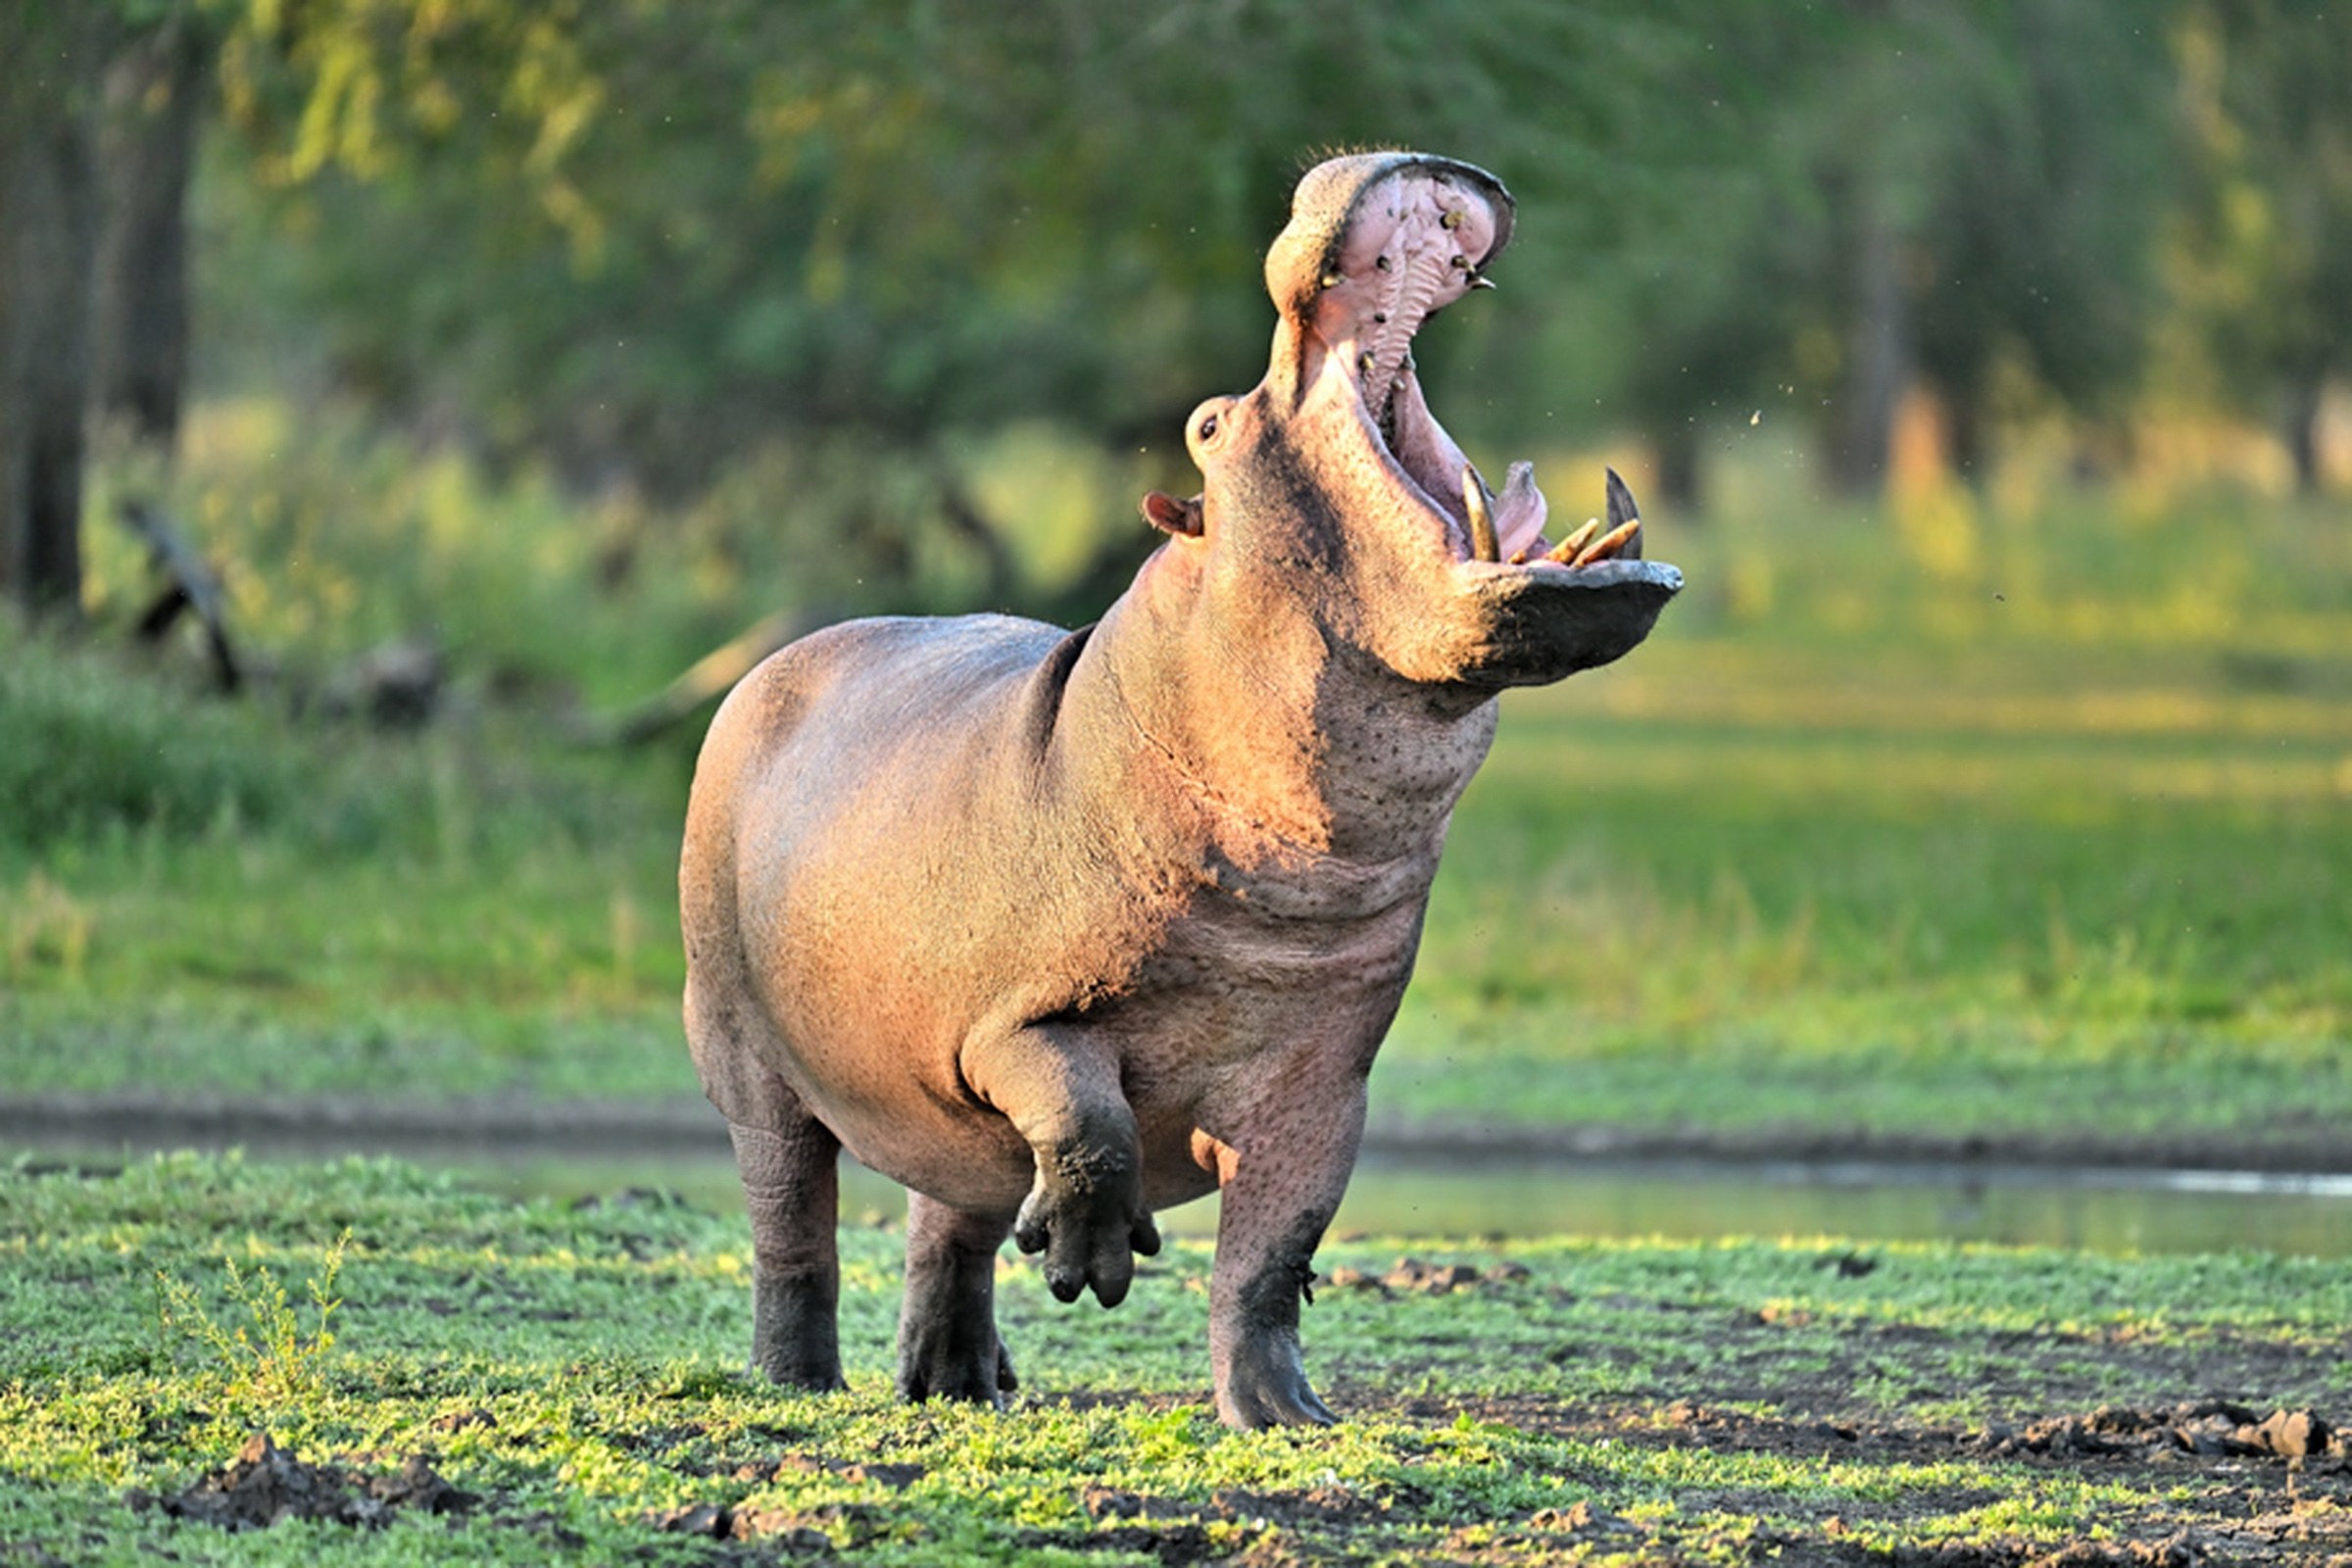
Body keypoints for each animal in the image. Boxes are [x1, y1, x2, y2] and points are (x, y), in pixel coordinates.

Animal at [680, 151, 1681, 1429]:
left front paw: (1285, 1417)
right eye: (1207, 422)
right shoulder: (1005, 1022)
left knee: (947, 1222)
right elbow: (1087, 1113)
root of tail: (767, 668)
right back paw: (800, 1380)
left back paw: (957, 1385)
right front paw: (1091, 1261)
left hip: (929, 1110)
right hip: (746, 1055)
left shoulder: (1325, 1080)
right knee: (791, 1220)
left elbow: (1273, 1250)